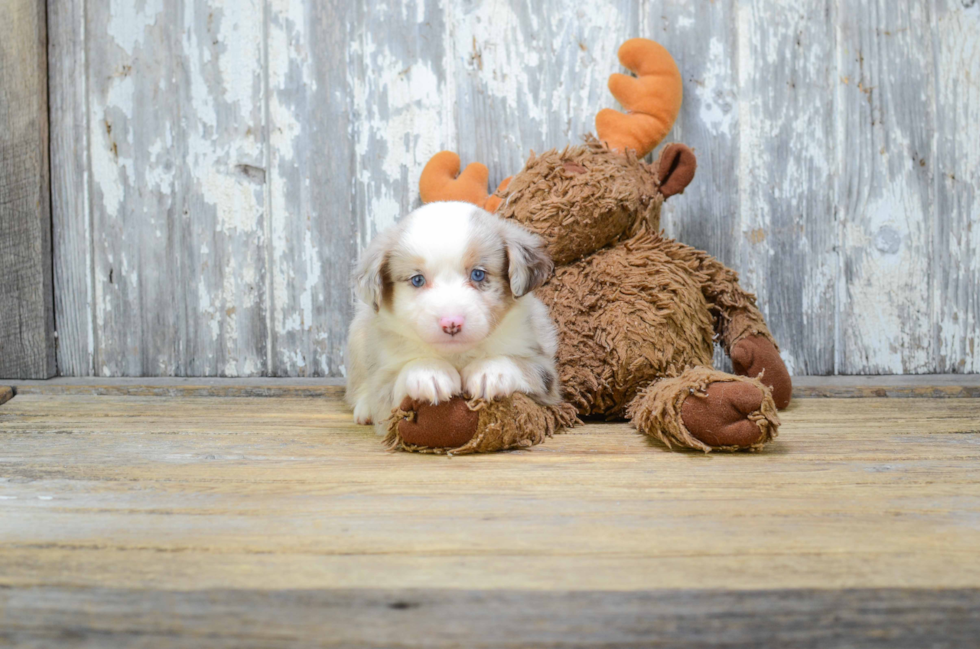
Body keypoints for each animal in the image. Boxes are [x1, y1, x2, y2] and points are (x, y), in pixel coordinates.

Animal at [344, 200, 560, 428]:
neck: (456, 354)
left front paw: (490, 370)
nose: (451, 323)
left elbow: (523, 365)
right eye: (417, 280)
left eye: (478, 274)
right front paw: (428, 372)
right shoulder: (383, 379)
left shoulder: (545, 369)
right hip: (358, 337)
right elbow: (393, 382)